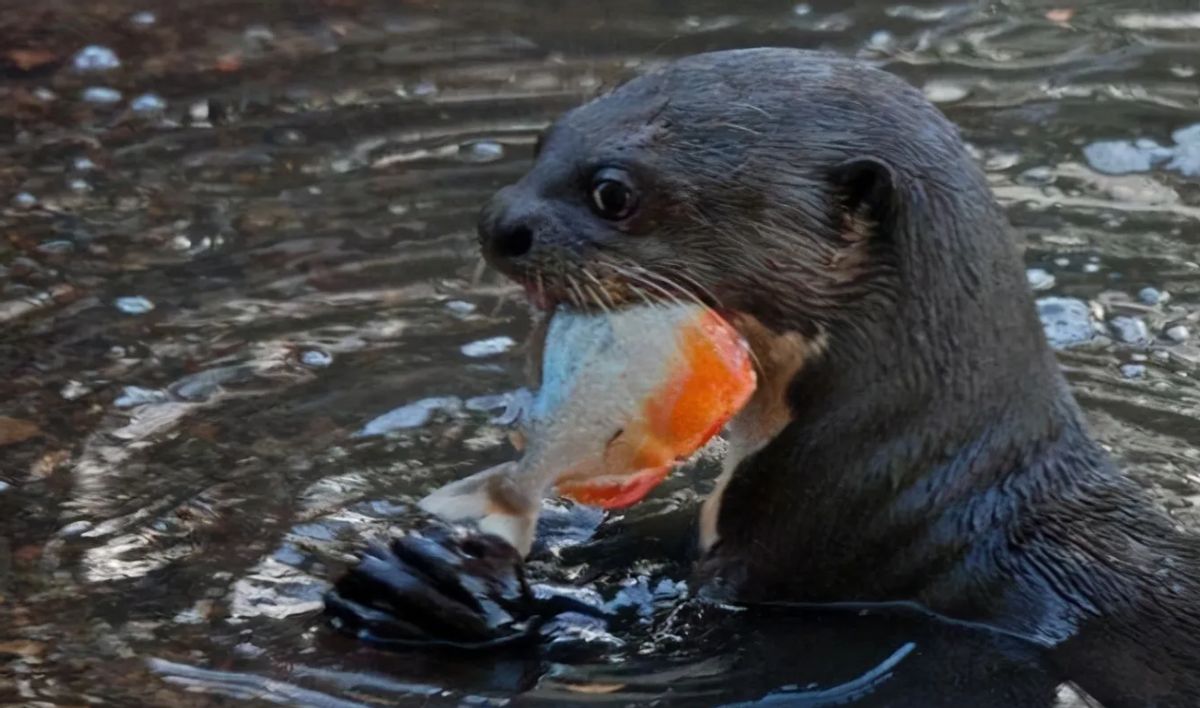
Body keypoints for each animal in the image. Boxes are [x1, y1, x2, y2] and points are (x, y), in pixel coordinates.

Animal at [324, 47, 1200, 705]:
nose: (496, 225)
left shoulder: (804, 560)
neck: (898, 475)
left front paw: (438, 595)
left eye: (612, 192)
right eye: (546, 140)